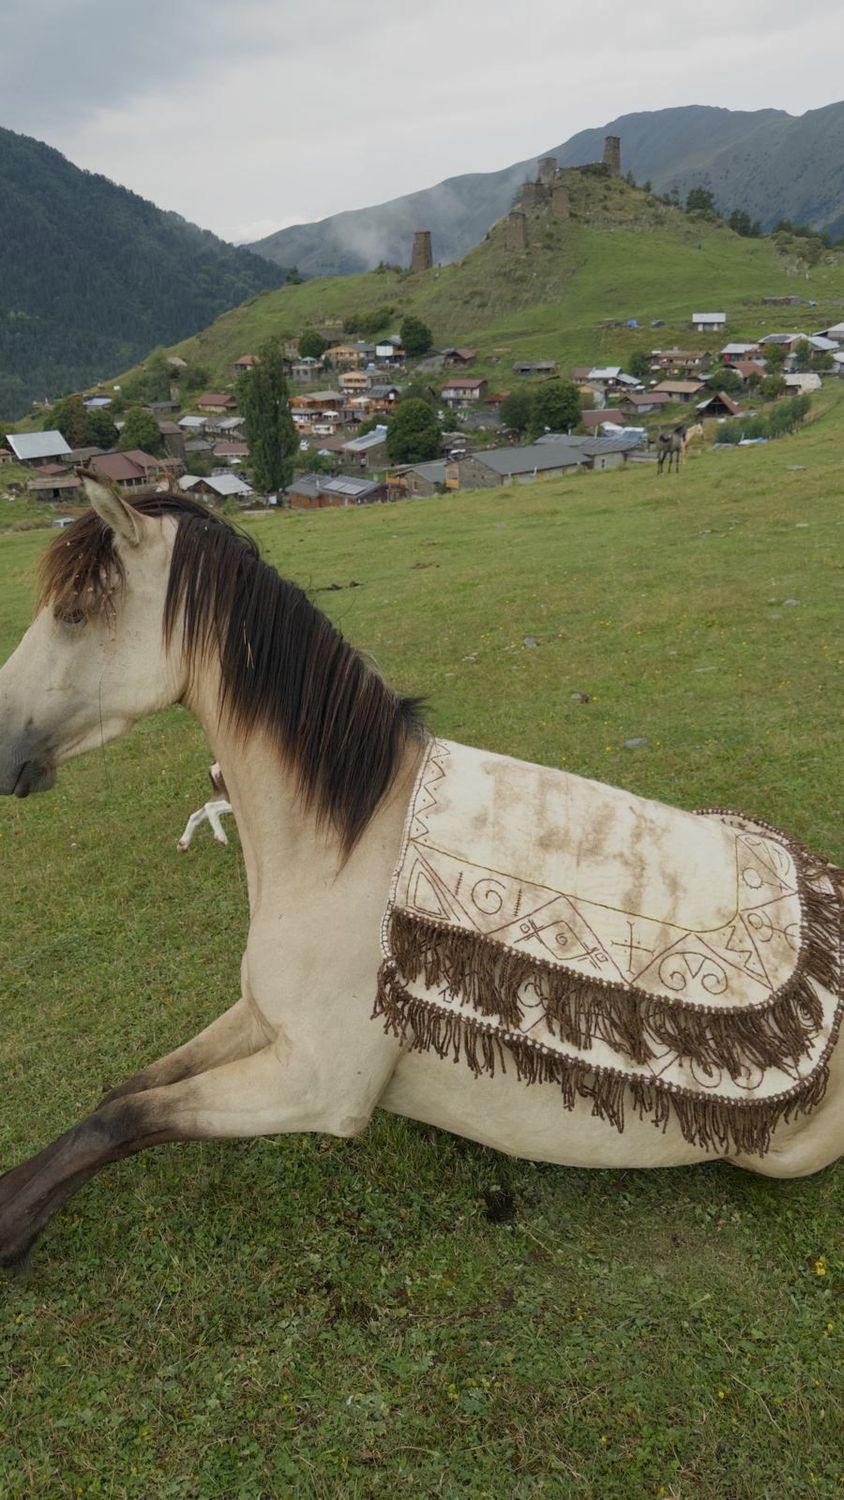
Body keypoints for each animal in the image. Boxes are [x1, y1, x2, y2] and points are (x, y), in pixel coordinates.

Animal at [0, 477, 841, 1269]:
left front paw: (12, 1223)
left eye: (75, 612)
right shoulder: (258, 1017)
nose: (3, 746)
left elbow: (129, 1118)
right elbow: (125, 1091)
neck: (343, 849)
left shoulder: (311, 1085)